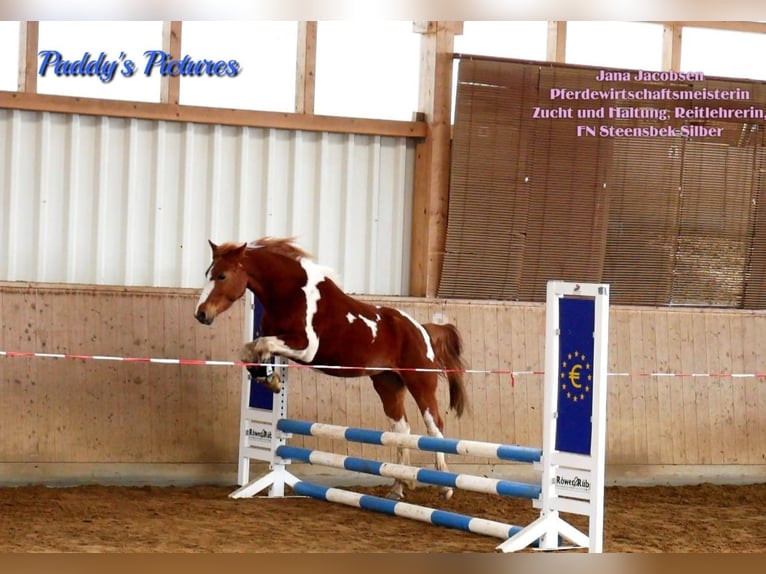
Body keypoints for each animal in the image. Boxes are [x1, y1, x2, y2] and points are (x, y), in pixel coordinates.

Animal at [194, 237, 467, 500]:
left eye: (222, 276)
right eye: (207, 273)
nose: (201, 314)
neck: (290, 293)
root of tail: (421, 329)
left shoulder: (306, 347)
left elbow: (261, 346)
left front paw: (271, 379)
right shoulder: (277, 340)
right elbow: (249, 351)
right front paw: (269, 379)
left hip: (420, 382)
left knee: (435, 427)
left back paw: (444, 487)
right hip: (388, 384)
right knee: (401, 430)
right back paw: (399, 485)